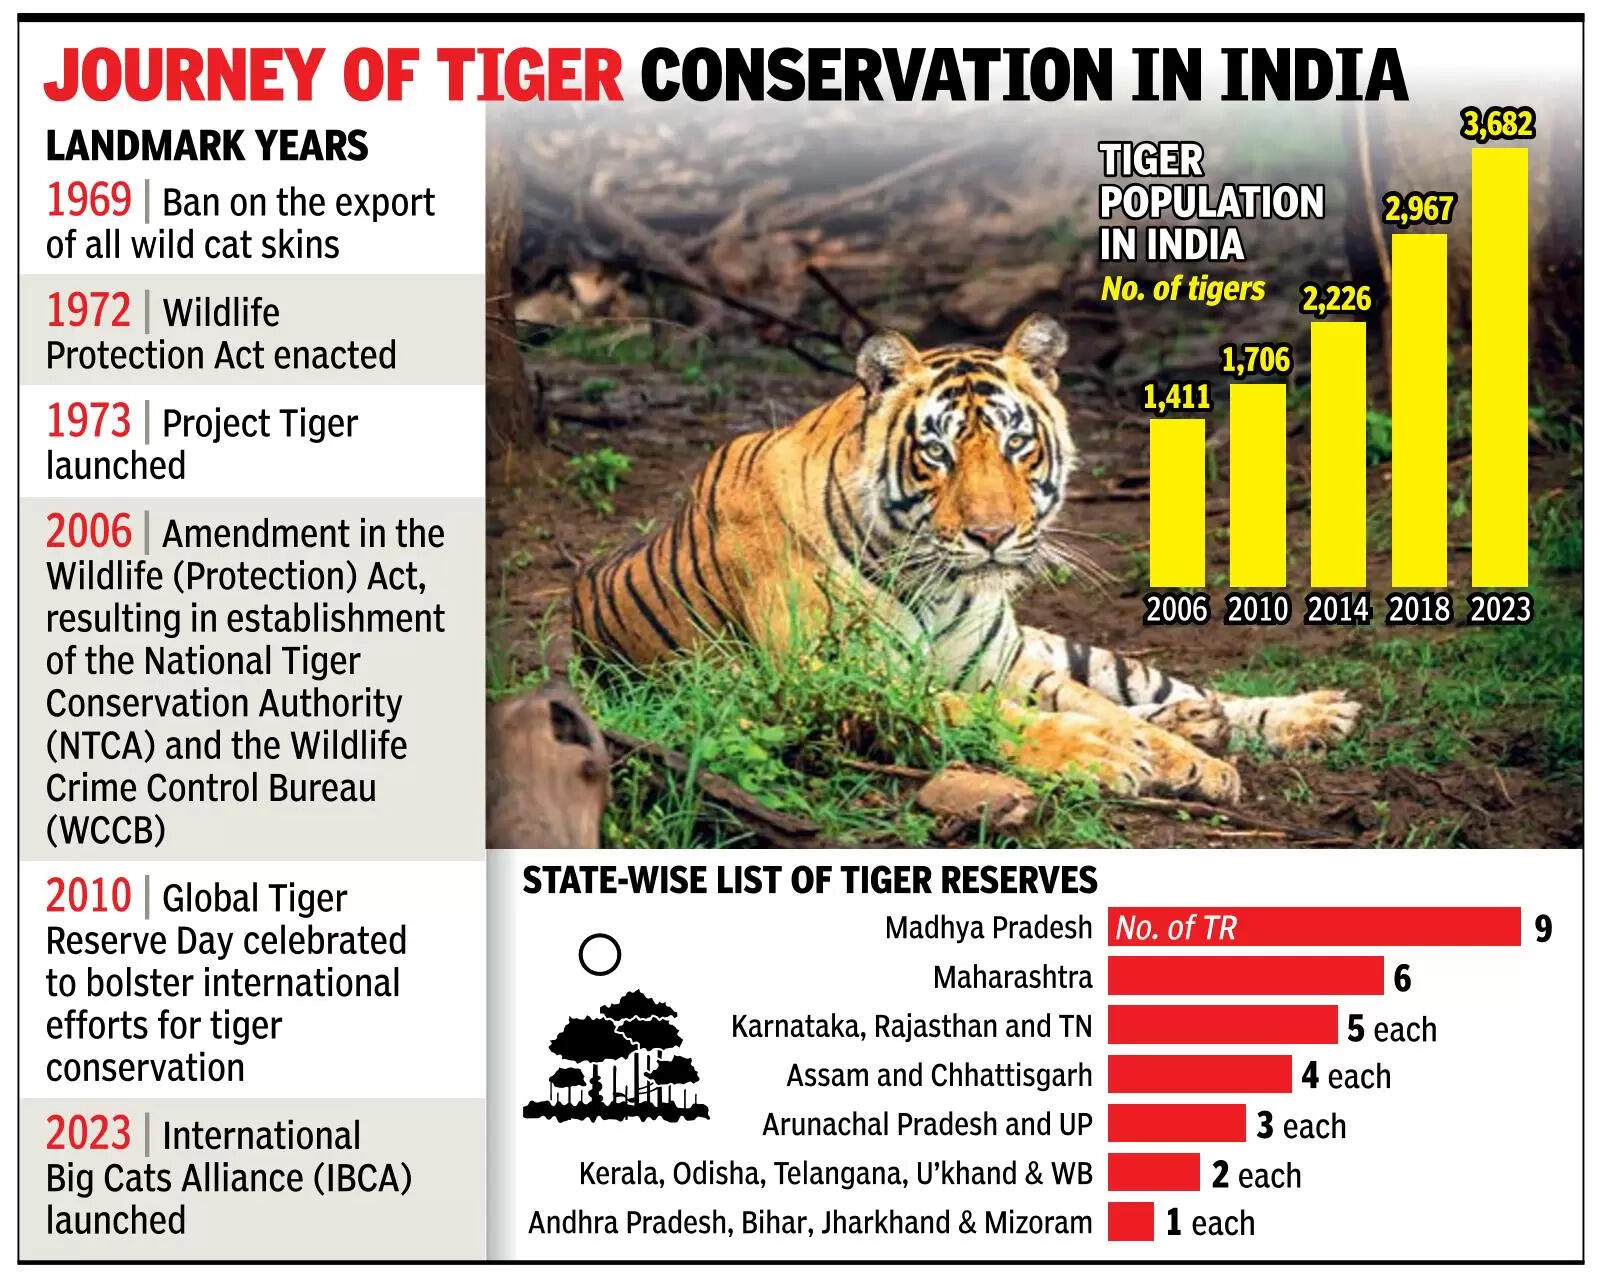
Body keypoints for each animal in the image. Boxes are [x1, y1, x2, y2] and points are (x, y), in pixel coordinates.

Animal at [571, 313, 1360, 803]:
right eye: (938, 452)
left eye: (1016, 444)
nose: (991, 534)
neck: (938, 585)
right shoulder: (845, 684)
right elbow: (1005, 720)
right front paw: (1106, 757)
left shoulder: (1008, 665)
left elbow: (1106, 711)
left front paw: (1195, 765)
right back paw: (1206, 723)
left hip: (1057, 646)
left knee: (1157, 686)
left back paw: (1303, 715)